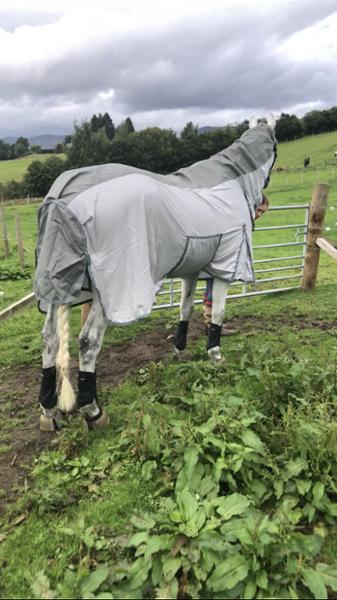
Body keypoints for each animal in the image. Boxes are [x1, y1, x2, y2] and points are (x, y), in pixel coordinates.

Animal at [34, 115, 276, 432]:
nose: (264, 202)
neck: (232, 179)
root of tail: (64, 197)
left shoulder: (191, 269)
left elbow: (185, 309)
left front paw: (180, 350)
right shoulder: (225, 265)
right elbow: (219, 313)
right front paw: (215, 354)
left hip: (57, 285)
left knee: (50, 339)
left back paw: (50, 412)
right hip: (110, 291)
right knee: (88, 342)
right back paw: (94, 412)